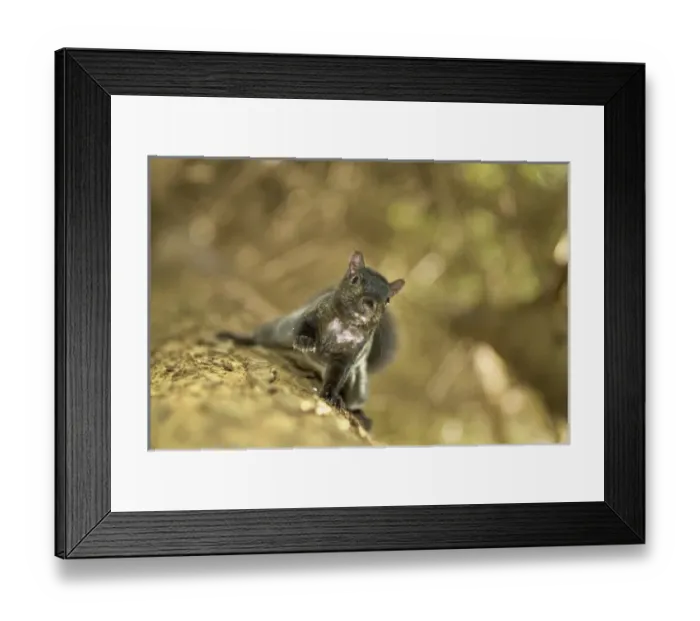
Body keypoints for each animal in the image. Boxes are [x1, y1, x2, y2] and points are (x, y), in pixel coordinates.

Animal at [216, 251, 405, 432]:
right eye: (355, 279)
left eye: (388, 299)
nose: (369, 303)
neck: (346, 324)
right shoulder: (312, 314)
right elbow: (305, 327)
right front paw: (305, 341)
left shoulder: (348, 356)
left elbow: (336, 377)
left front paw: (331, 395)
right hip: (279, 330)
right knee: (261, 336)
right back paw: (237, 338)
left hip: (357, 386)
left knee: (353, 399)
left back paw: (360, 415)